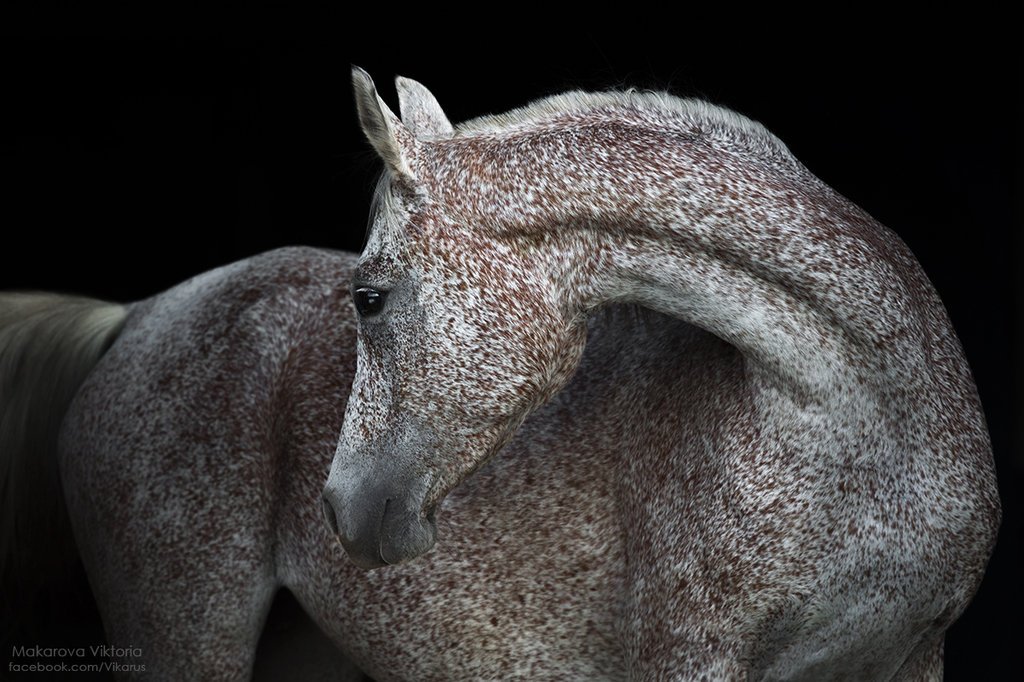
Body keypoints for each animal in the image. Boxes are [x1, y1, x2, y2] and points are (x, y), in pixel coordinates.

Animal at [0, 67, 999, 675]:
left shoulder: (912, 657)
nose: (344, 507)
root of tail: (139, 314)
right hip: (184, 638)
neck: (865, 422)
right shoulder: (690, 655)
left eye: (368, 297)